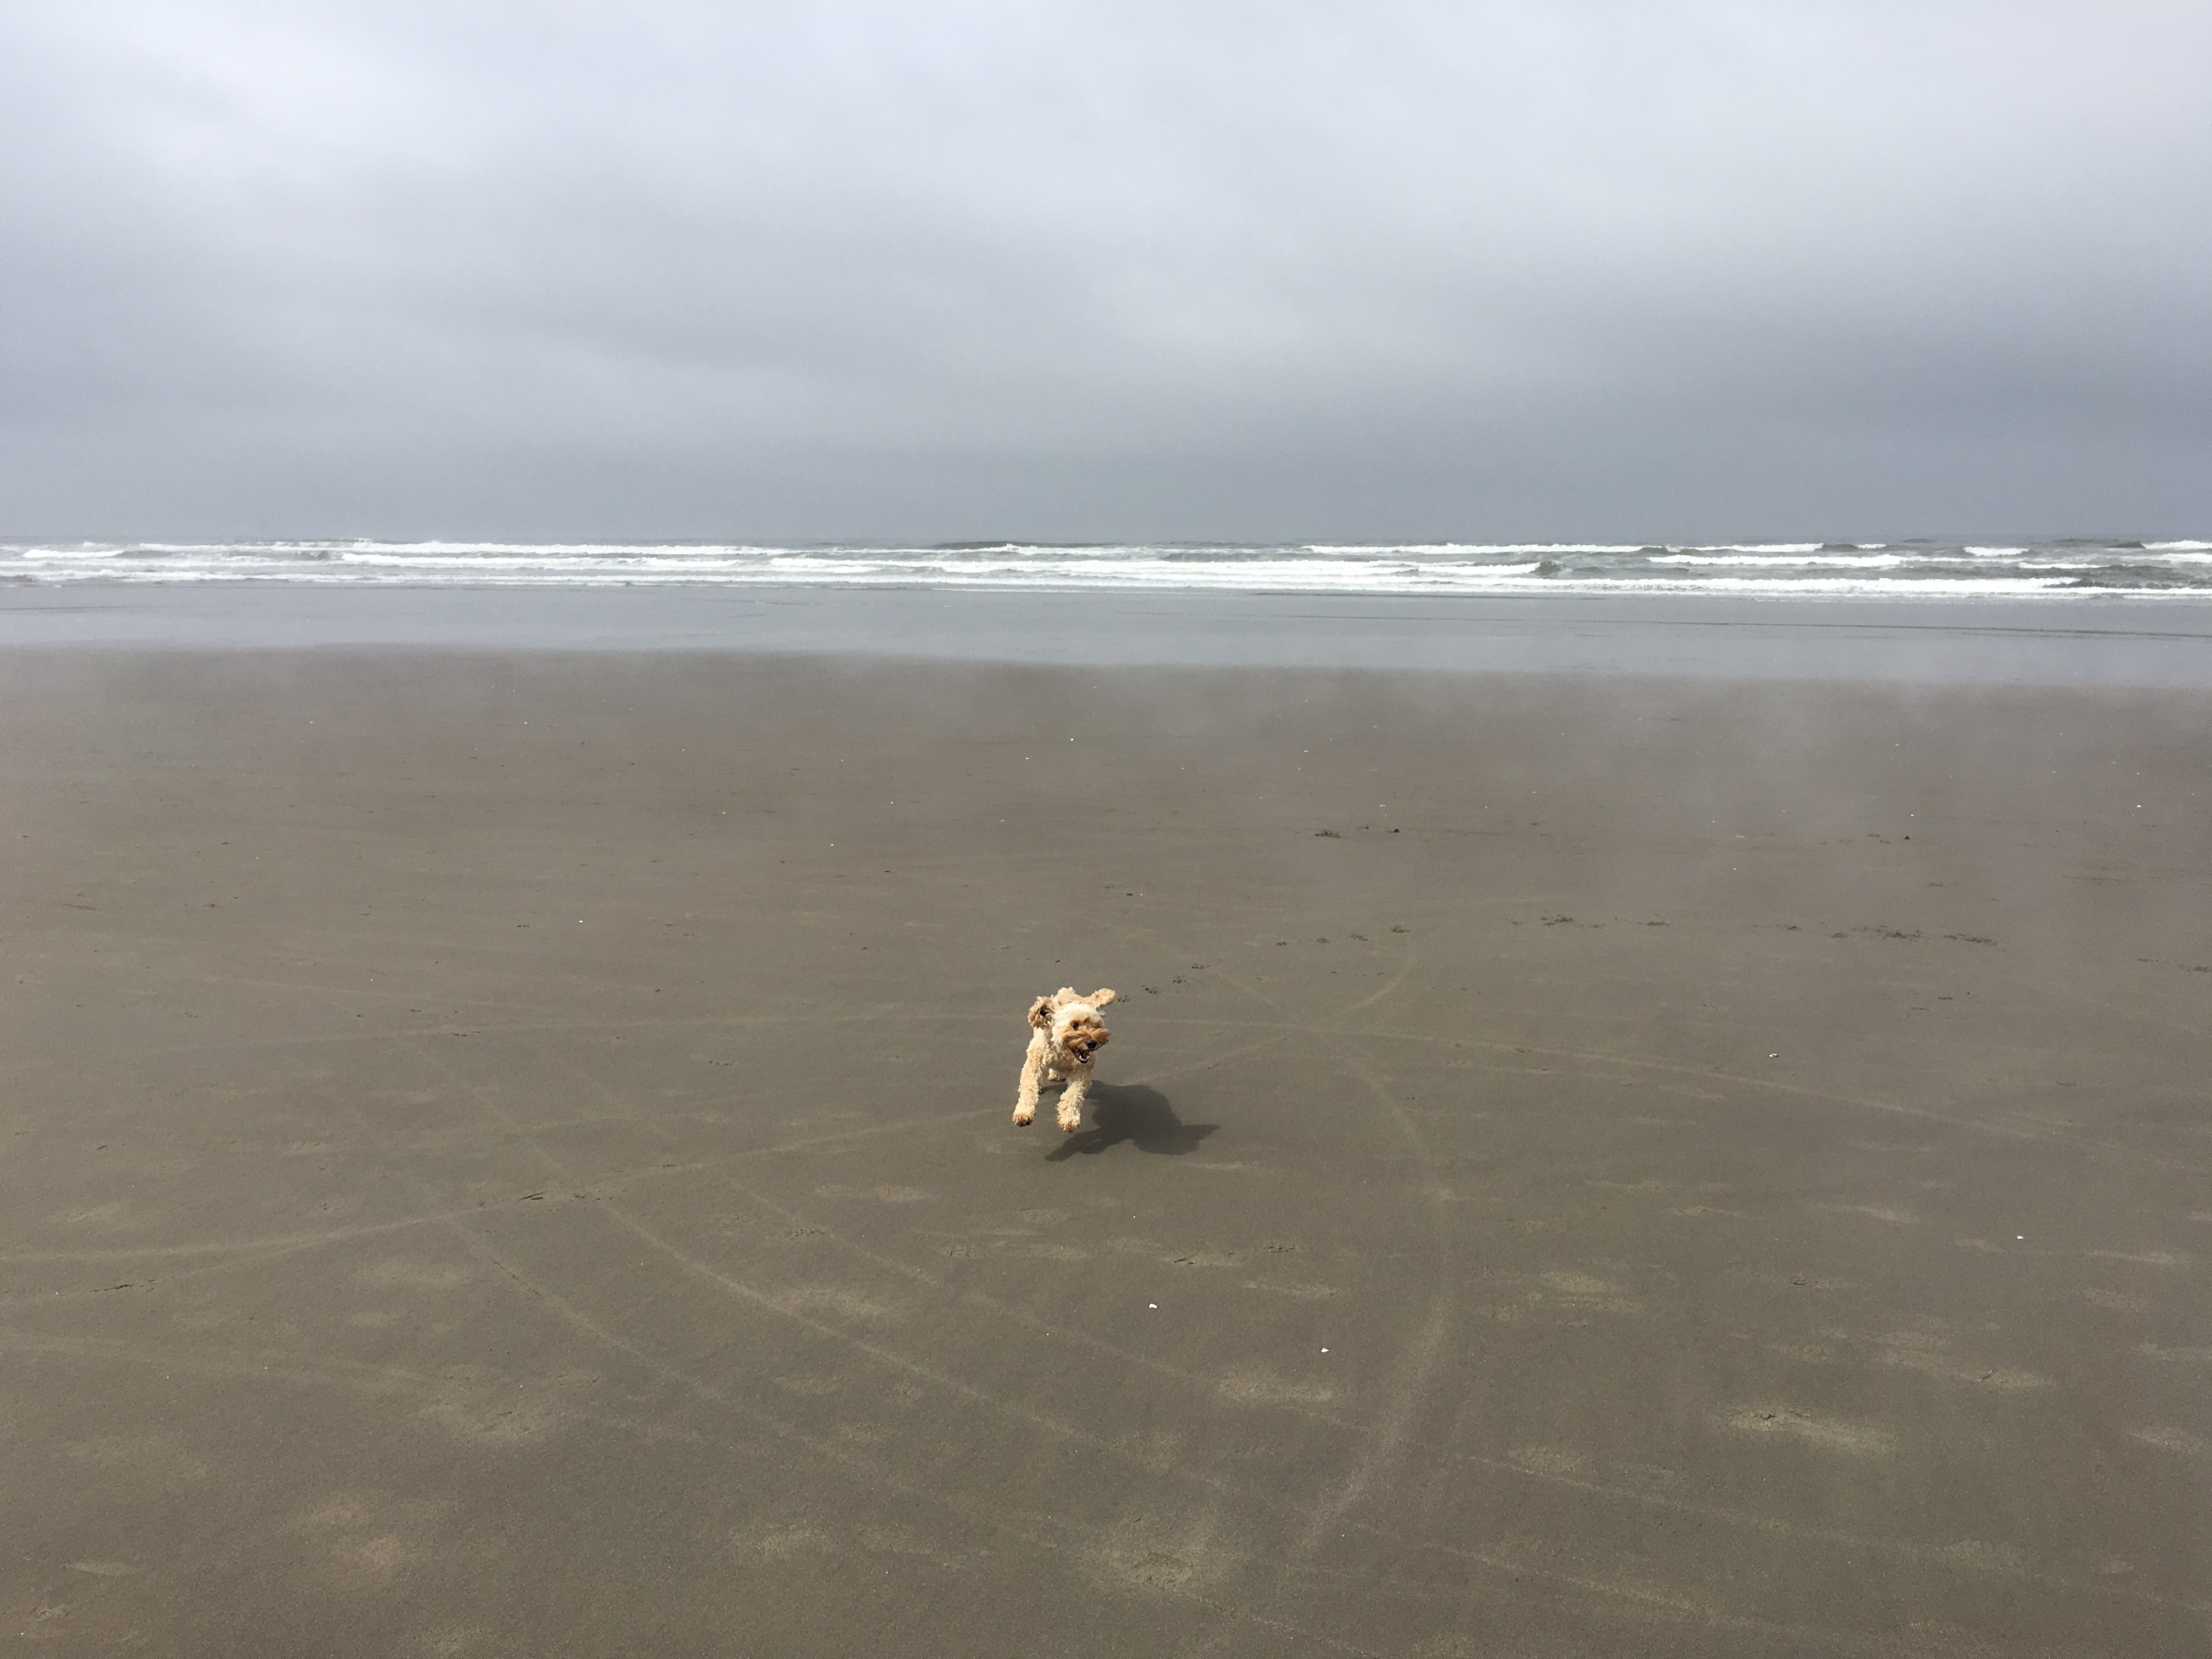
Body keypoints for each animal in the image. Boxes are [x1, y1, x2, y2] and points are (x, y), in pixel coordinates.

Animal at [1017, 995, 1124, 1141]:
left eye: (1096, 1026)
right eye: (1074, 1025)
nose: (1092, 1043)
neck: (1063, 1053)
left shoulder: (1082, 1073)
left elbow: (1073, 1094)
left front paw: (1069, 1119)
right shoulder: (1035, 1063)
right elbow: (1029, 1087)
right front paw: (1024, 1113)